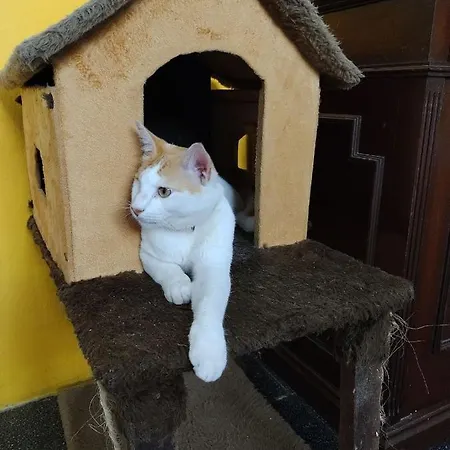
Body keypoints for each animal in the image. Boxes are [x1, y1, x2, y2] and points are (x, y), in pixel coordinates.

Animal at [130, 122, 253, 382]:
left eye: (163, 192)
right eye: (137, 183)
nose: (136, 209)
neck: (182, 231)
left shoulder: (214, 266)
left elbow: (209, 305)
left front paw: (208, 352)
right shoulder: (147, 253)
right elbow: (166, 269)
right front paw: (180, 286)